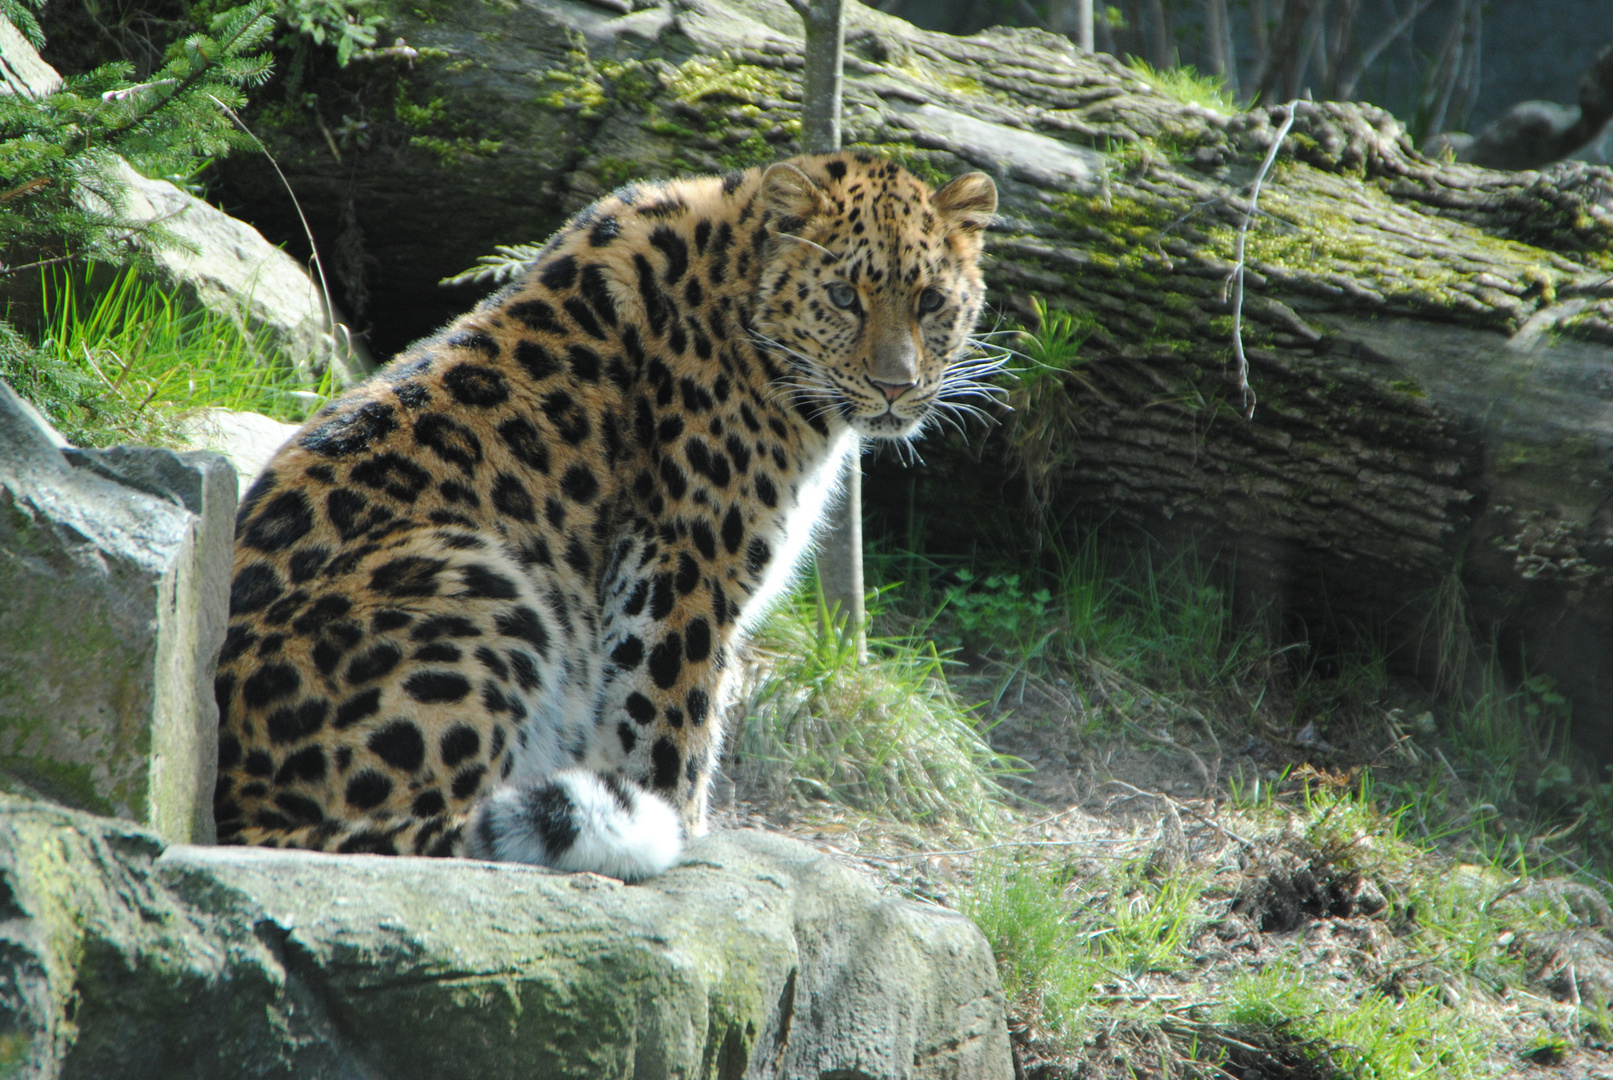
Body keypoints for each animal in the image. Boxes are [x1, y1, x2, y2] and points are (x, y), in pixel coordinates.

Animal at [211, 149, 993, 876]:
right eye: (841, 295)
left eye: (930, 301)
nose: (896, 386)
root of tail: (234, 804)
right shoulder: (681, 572)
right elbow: (669, 730)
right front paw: (682, 830)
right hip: (475, 571)